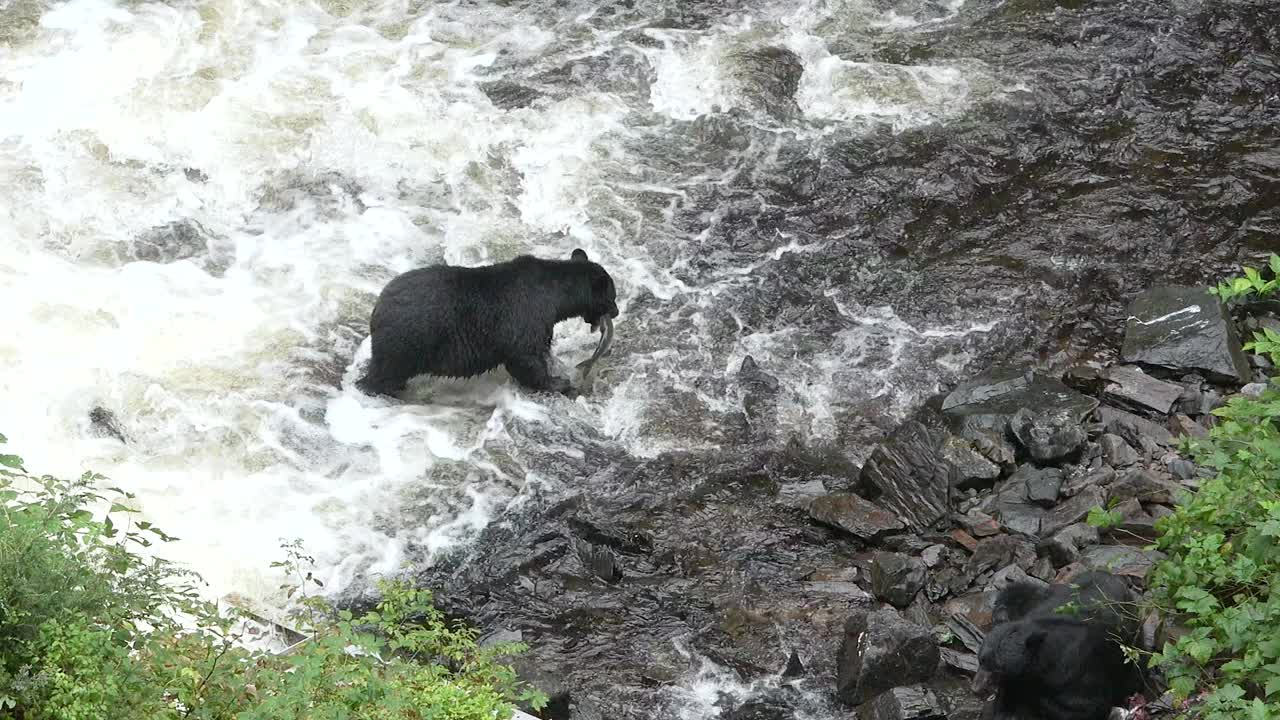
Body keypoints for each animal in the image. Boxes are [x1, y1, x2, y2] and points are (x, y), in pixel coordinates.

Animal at [355, 244, 619, 392]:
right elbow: (525, 355)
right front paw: (557, 382)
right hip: (408, 339)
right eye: (613, 296)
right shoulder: (527, 315)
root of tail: (377, 308)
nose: (616, 312)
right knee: (386, 370)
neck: (553, 295)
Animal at [972, 571, 1146, 717]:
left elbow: (1085, 706)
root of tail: (1114, 575)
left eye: (997, 670)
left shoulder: (1079, 669)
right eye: (981, 660)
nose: (976, 689)